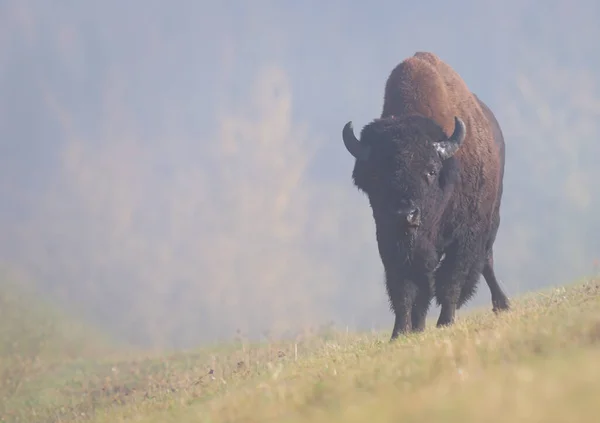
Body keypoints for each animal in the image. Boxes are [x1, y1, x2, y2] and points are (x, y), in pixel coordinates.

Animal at [342, 52, 510, 342]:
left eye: (431, 171)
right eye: (375, 175)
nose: (405, 215)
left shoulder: (465, 237)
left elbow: (450, 280)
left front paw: (445, 322)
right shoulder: (392, 242)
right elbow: (405, 289)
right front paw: (400, 332)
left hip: (491, 220)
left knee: (485, 260)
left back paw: (502, 305)